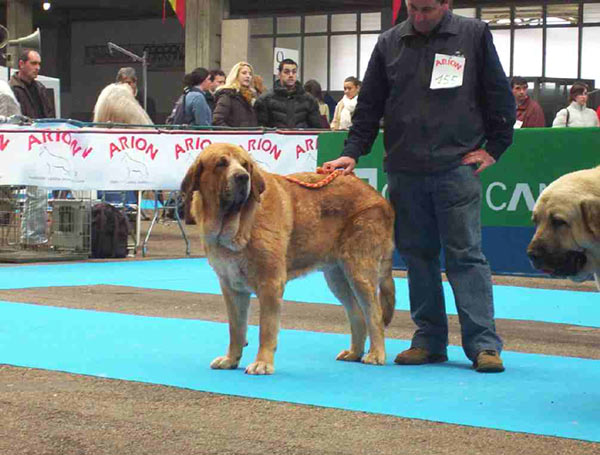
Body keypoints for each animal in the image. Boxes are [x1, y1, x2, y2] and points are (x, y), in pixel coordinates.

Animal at [183, 142, 398, 374]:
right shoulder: (231, 286)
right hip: (337, 276)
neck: (237, 223)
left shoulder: (270, 283)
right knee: (357, 313)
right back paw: (354, 353)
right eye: (221, 163)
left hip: (359, 270)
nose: (242, 177)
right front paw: (231, 359)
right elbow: (236, 328)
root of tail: (377, 196)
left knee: (374, 313)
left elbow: (266, 328)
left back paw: (376, 354)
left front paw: (262, 363)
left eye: (245, 165)